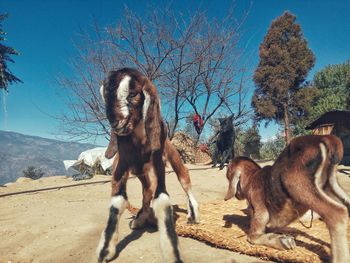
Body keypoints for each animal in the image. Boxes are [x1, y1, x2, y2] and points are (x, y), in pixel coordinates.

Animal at [95, 68, 200, 263]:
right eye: (105, 96)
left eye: (133, 94)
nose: (115, 123)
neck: (139, 142)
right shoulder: (121, 165)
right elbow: (117, 201)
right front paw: (105, 250)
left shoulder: (158, 164)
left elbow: (162, 200)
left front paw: (173, 254)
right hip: (142, 174)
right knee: (147, 192)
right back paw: (139, 219)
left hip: (172, 156)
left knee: (184, 180)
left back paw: (194, 214)